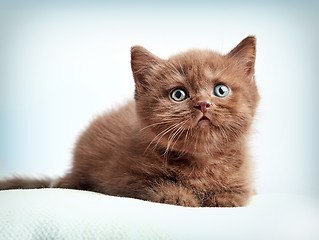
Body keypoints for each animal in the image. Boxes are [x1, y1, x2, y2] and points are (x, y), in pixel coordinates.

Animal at [0, 36, 260, 207]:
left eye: (220, 90)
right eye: (178, 94)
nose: (204, 104)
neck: (201, 161)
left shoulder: (245, 176)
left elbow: (239, 192)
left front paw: (223, 197)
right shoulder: (127, 178)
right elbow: (157, 184)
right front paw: (180, 196)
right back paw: (64, 181)